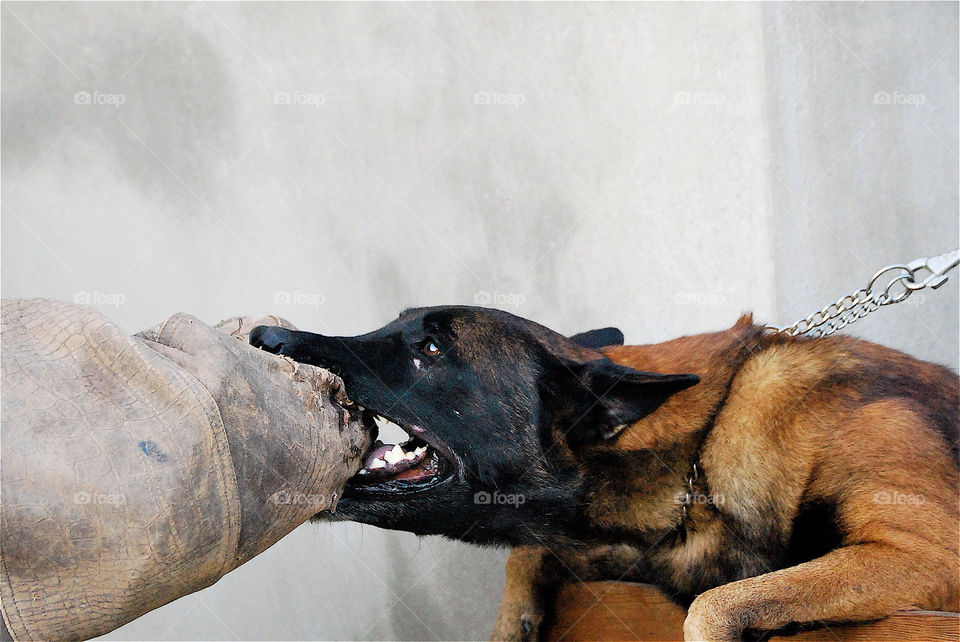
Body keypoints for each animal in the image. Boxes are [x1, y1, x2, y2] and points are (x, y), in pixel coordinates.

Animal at [249, 308, 960, 636]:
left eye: (429, 348)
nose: (265, 339)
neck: (698, 457)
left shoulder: (926, 552)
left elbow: (711, 607)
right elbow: (529, 554)